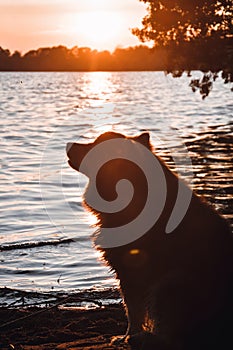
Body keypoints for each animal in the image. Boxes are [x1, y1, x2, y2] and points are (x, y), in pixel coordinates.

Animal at [66, 133, 232, 348]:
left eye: (95, 145)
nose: (68, 144)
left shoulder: (131, 270)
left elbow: (132, 311)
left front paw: (128, 336)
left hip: (168, 284)